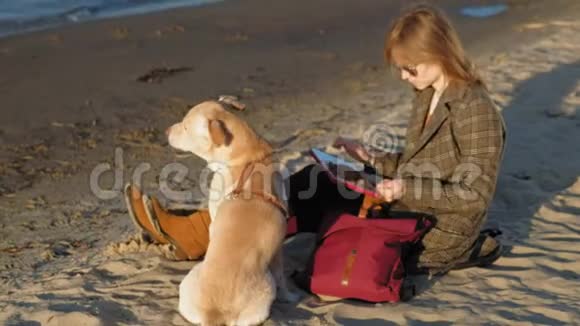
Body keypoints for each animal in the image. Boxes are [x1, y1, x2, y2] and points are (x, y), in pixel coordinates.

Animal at [165, 102, 296, 326]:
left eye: (185, 127)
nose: (166, 131)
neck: (249, 156)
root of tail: (215, 312)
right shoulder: (279, 248)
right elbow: (282, 276)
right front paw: (289, 297)